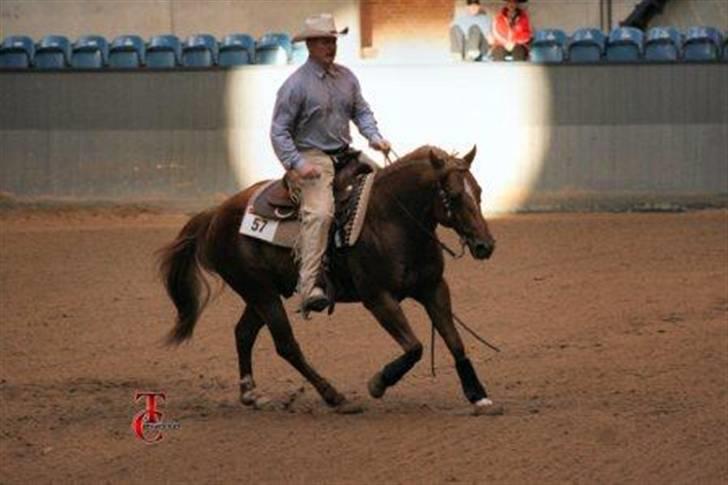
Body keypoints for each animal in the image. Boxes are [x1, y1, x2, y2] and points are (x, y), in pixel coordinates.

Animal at [158, 144, 500, 412]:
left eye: (480, 192)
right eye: (454, 195)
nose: (485, 245)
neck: (393, 219)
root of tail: (215, 213)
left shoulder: (434, 289)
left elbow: (455, 341)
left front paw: (478, 395)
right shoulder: (379, 299)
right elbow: (414, 347)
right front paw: (378, 383)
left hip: (262, 292)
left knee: (243, 333)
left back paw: (251, 394)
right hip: (259, 291)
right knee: (286, 345)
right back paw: (334, 396)